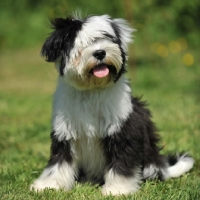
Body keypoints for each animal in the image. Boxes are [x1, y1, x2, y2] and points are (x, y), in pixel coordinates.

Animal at [30, 13, 195, 195]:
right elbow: (59, 161)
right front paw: (49, 186)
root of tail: (161, 166)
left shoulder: (122, 128)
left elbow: (122, 161)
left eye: (107, 39)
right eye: (83, 44)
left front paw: (118, 189)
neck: (92, 90)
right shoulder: (65, 130)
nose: (100, 52)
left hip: (149, 160)